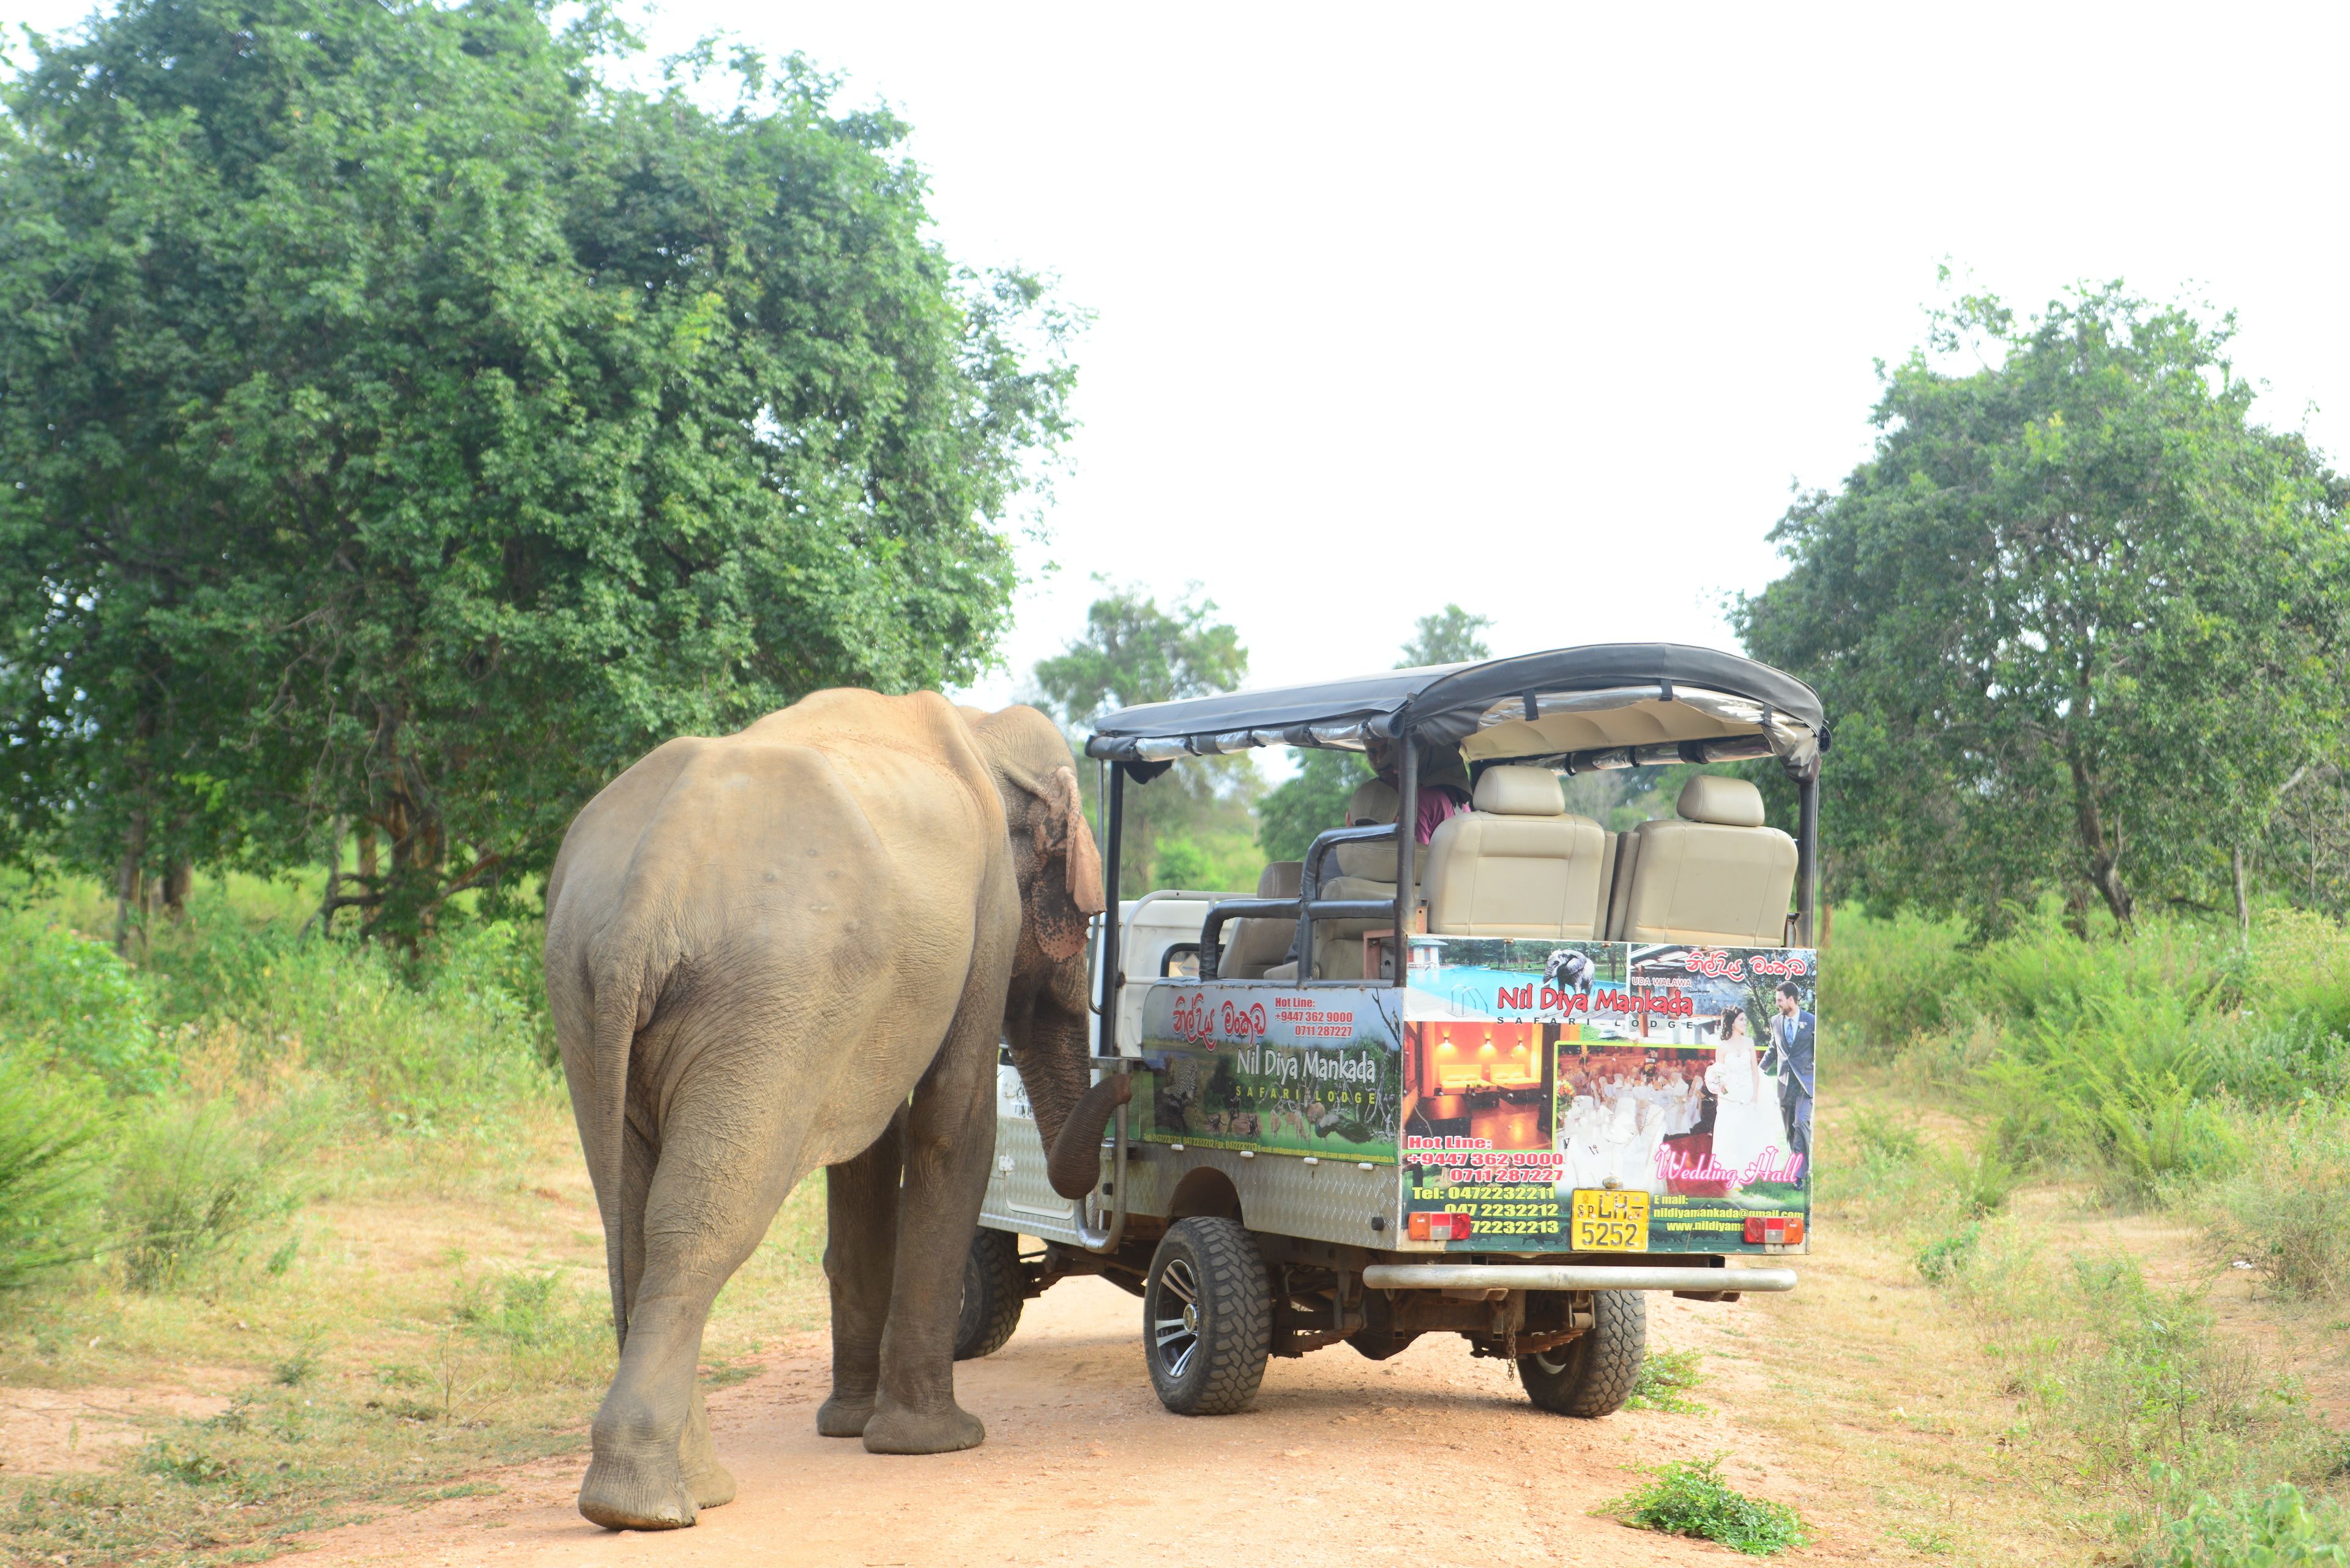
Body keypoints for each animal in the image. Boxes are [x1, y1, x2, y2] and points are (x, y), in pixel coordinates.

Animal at [543, 689, 1126, 1530]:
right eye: (1079, 910)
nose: (1133, 1072)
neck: (982, 727)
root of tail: (644, 898)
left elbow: (867, 1148)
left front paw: (853, 1429)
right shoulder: (986, 915)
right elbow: (953, 1126)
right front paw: (936, 1443)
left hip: (589, 997)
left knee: (630, 1221)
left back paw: (684, 1493)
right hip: (763, 993)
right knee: (704, 1223)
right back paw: (647, 1507)